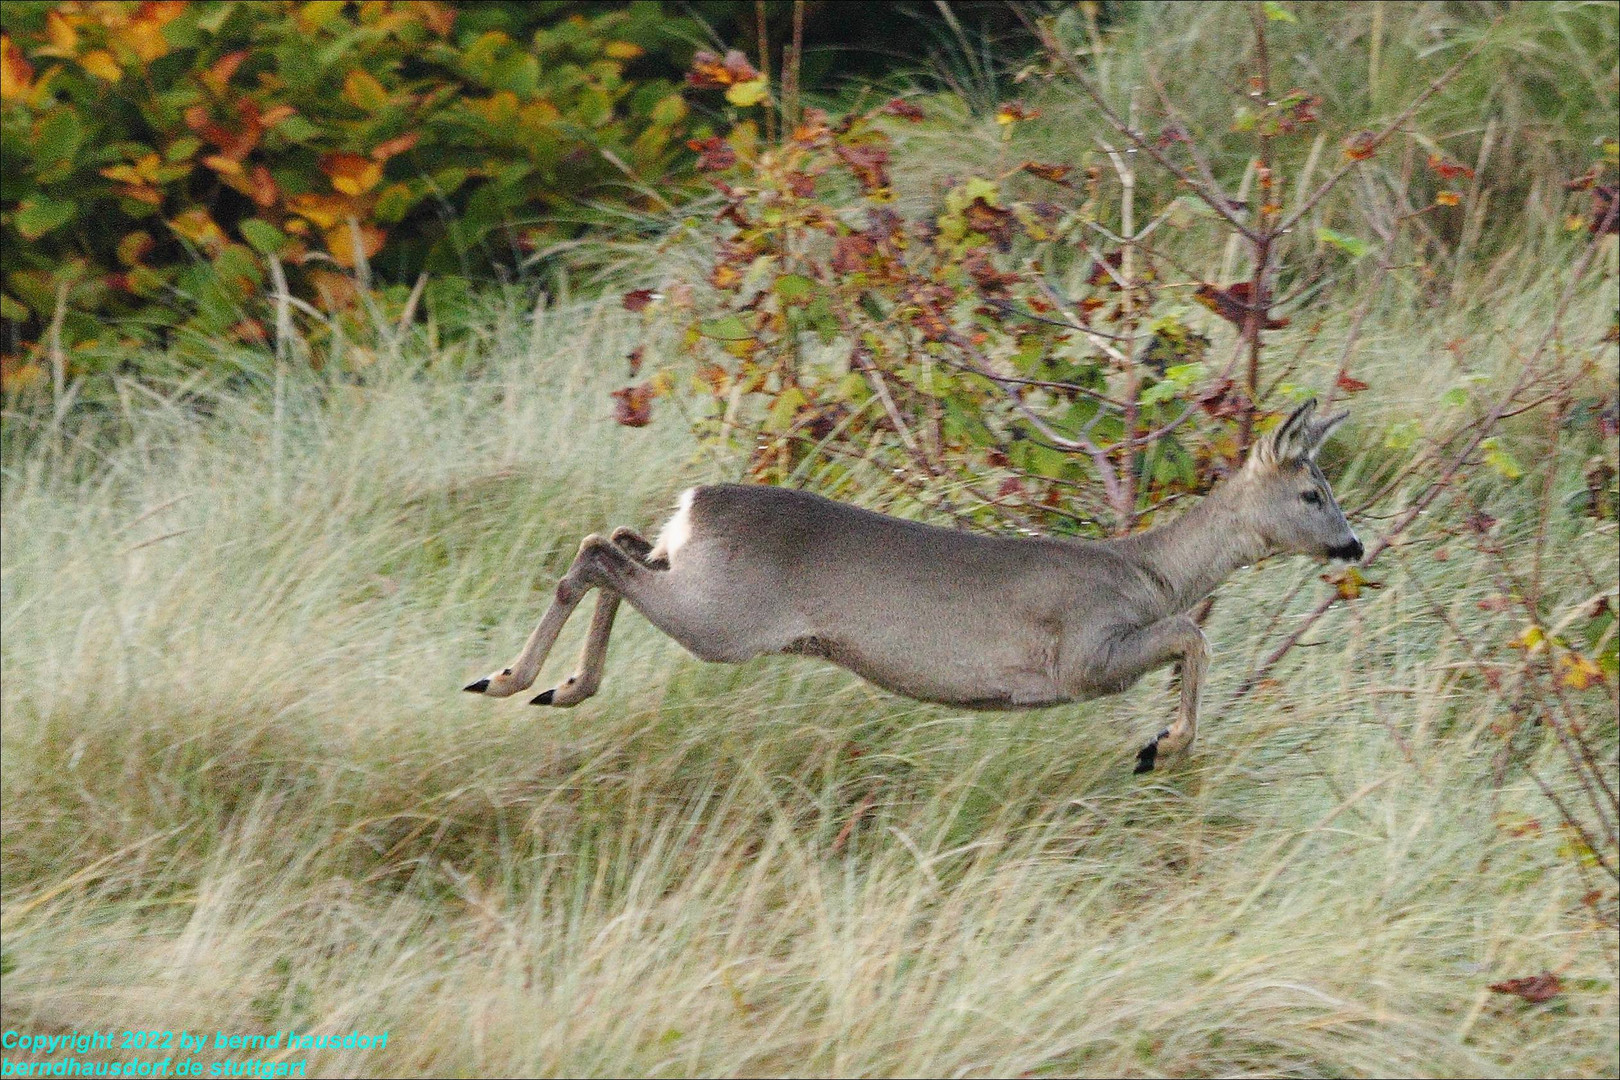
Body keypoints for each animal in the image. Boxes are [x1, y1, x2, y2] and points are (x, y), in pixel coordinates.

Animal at [463, 401, 1360, 773]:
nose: (1353, 544)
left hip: (693, 576)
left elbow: (1190, 640)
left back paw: (559, 685)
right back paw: (509, 677)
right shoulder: (1080, 658)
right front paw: (1159, 748)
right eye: (1312, 492)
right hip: (725, 620)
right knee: (597, 551)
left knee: (618, 544)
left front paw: (1161, 742)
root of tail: (693, 502)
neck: (1148, 572)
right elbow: (1193, 635)